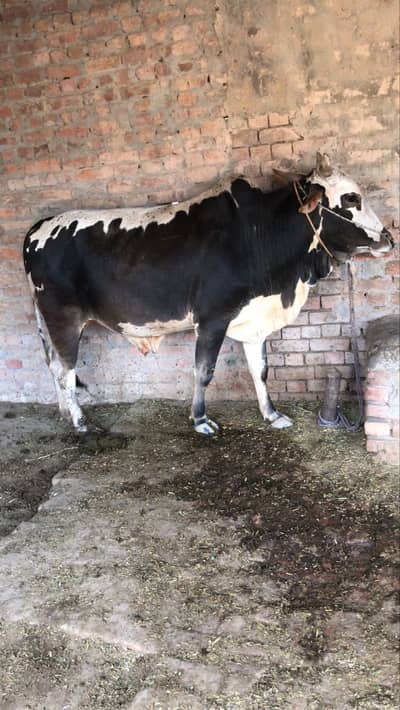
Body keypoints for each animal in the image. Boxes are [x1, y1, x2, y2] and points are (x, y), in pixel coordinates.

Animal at [23, 152, 393, 435]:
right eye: (352, 198)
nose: (388, 237)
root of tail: (38, 226)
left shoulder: (254, 321)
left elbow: (260, 370)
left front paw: (272, 414)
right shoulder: (212, 319)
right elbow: (204, 371)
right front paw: (200, 419)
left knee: (56, 367)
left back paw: (65, 414)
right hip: (63, 318)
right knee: (65, 370)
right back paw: (80, 423)